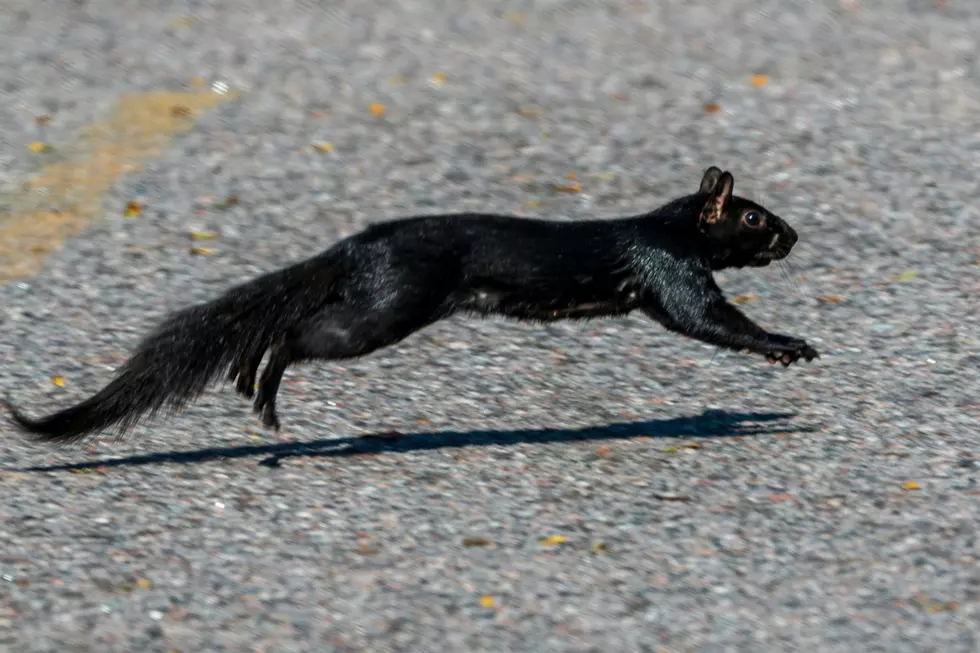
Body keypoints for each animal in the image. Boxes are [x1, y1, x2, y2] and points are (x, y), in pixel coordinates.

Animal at [5, 166, 818, 444]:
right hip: (387, 308)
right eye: (754, 217)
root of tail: (352, 247)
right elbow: (706, 319)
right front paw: (788, 345)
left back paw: (246, 380)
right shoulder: (667, 268)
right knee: (298, 334)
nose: (793, 235)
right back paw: (261, 385)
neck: (668, 226)